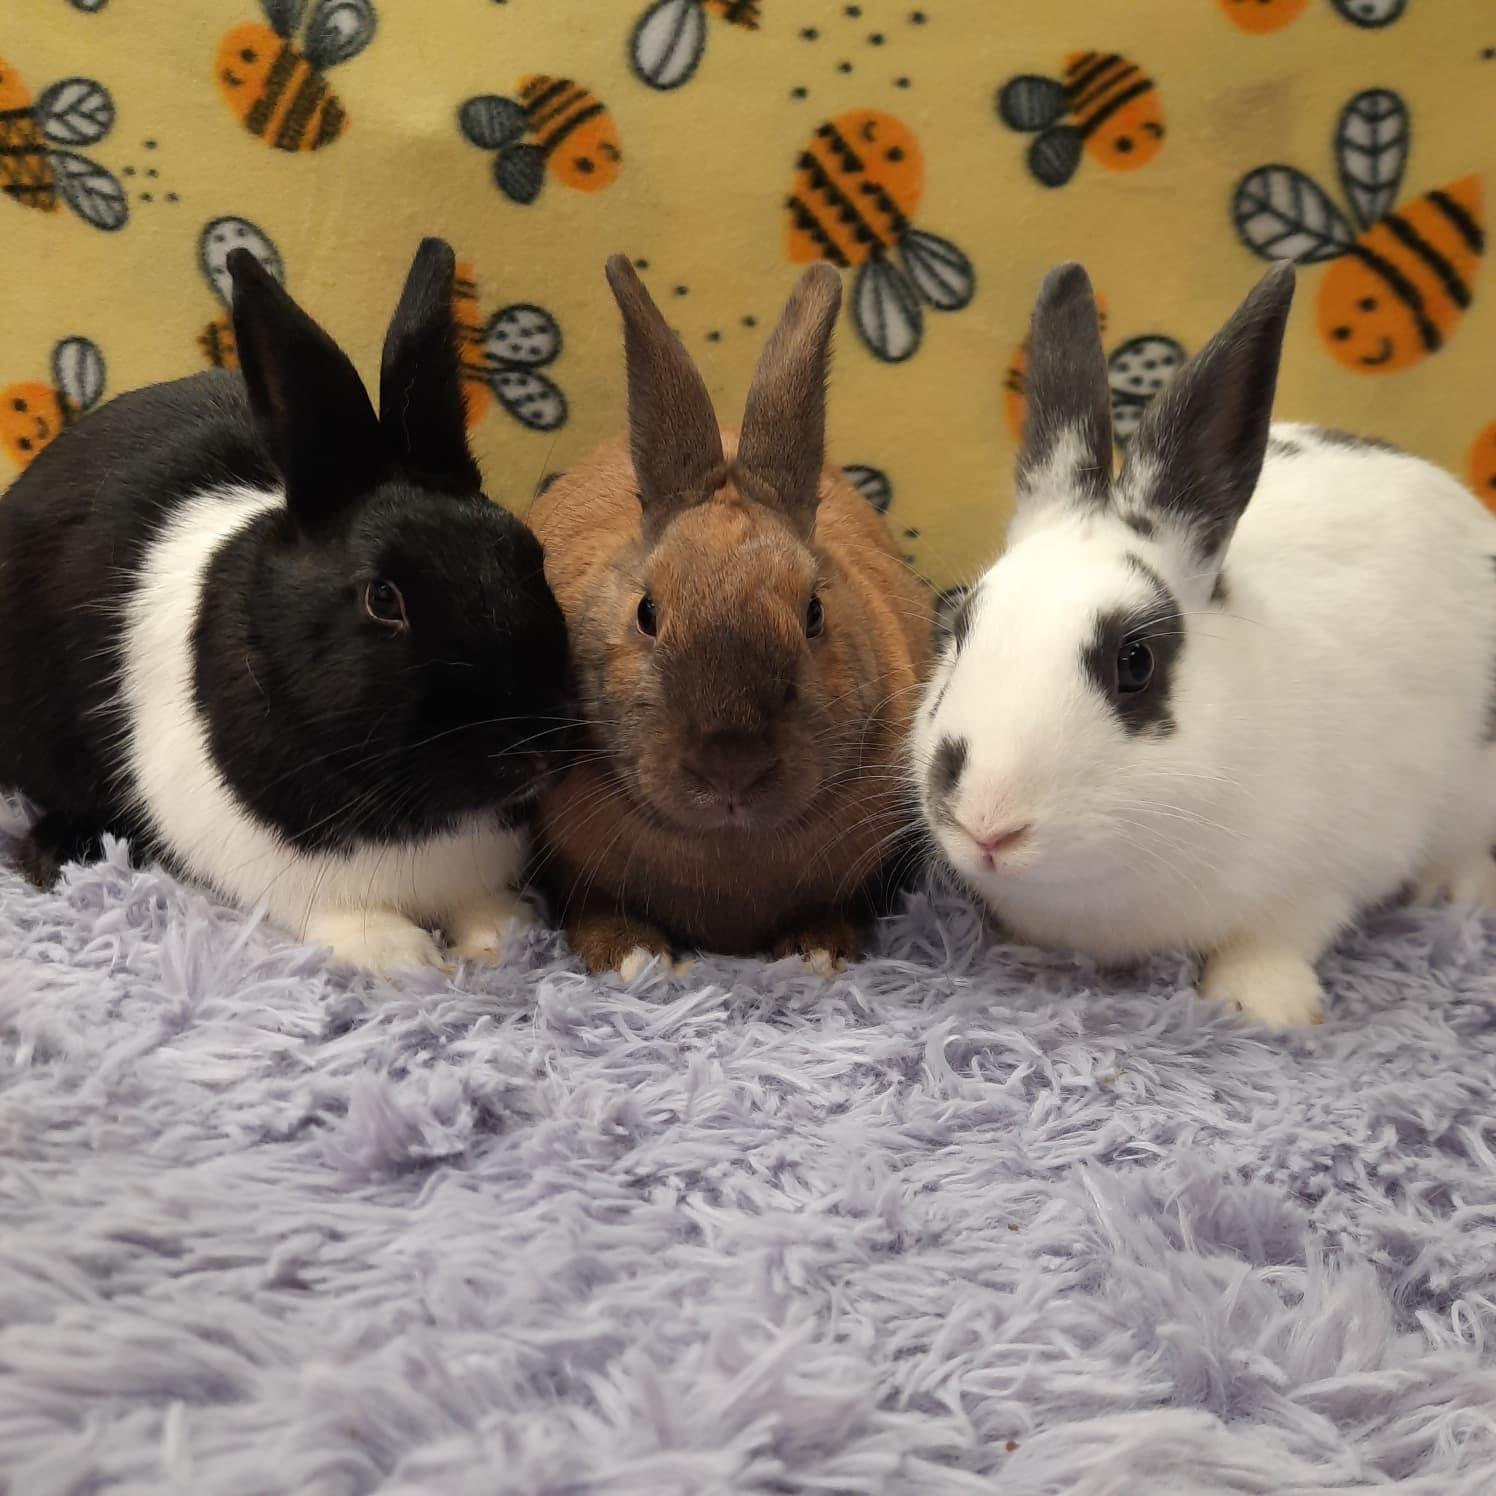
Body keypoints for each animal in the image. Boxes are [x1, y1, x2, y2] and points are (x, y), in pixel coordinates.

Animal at [0, 238, 572, 974]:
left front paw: (504, 936)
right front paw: (406, 958)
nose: (537, 753)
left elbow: (483, 905)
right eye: (382, 599)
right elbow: (343, 917)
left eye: (530, 556)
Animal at [527, 257, 934, 976]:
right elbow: (596, 907)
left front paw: (818, 952)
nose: (731, 769)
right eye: (647, 613)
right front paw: (631, 957)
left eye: (813, 612)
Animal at [912, 259, 1496, 1029]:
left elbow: (1279, 936)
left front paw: (1264, 1005)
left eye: (1135, 661)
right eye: (958, 625)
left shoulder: (1326, 874)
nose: (988, 823)